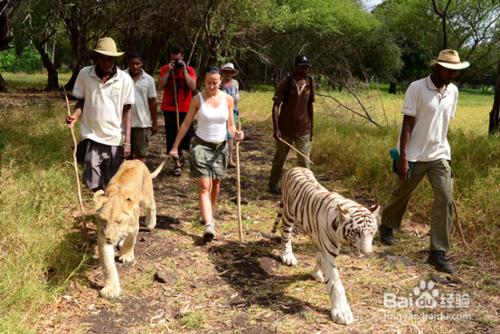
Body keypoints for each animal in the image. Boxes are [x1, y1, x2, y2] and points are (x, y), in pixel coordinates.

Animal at [274, 167, 378, 324]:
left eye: (372, 232)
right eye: (357, 233)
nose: (366, 253)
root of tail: (295, 167)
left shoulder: (322, 245)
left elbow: (319, 258)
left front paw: (317, 273)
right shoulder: (329, 254)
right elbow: (336, 284)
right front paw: (342, 312)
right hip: (288, 214)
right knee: (286, 235)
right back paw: (288, 256)